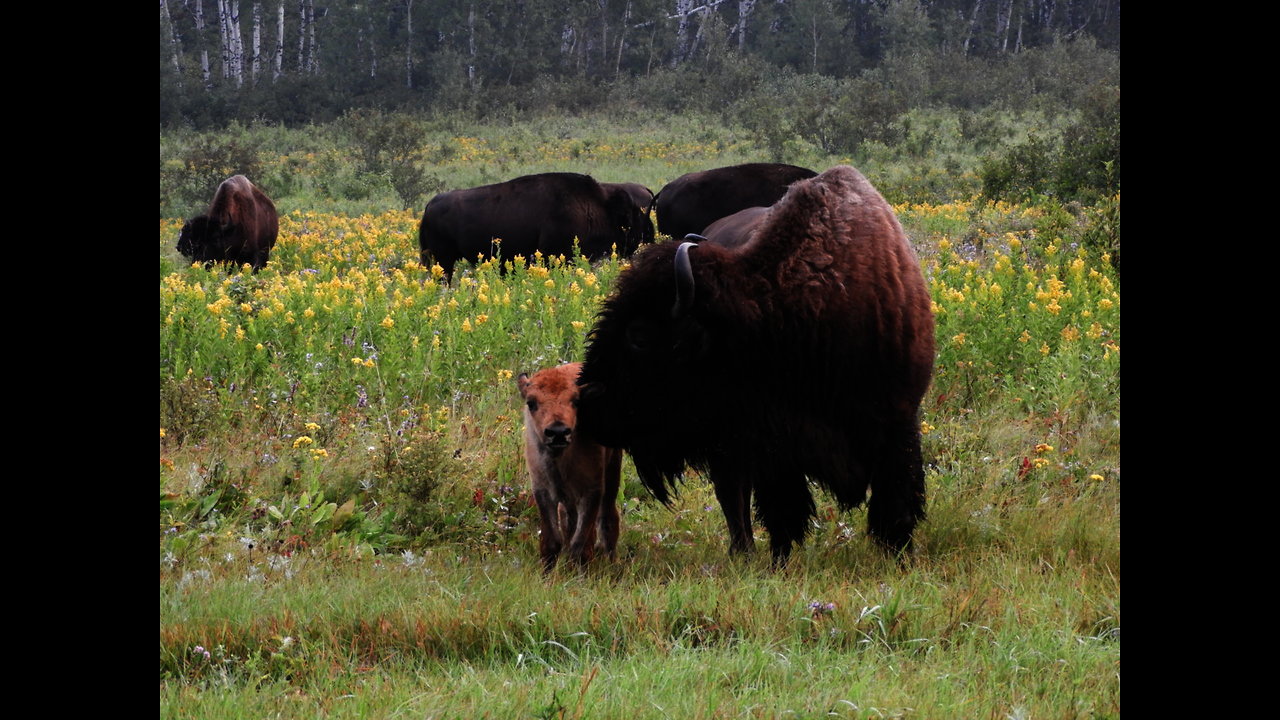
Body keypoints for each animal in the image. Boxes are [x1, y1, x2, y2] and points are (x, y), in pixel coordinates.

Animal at [514, 363, 624, 571]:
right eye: (531, 402)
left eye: (576, 401)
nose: (558, 432)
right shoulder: (542, 491)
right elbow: (551, 541)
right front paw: (547, 574)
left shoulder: (592, 491)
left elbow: (581, 543)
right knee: (569, 521)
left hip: (612, 473)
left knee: (608, 520)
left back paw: (613, 565)